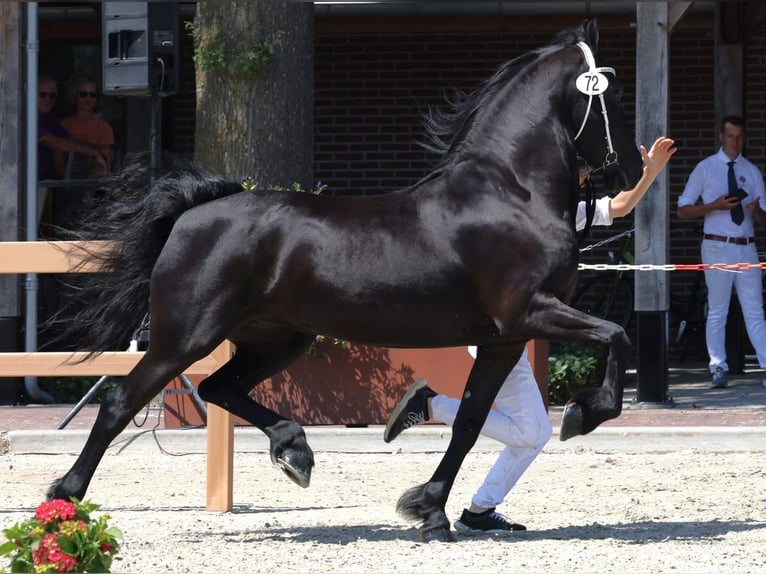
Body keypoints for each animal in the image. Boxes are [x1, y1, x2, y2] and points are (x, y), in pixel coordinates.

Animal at [48, 19, 643, 543]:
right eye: (612, 95)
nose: (633, 169)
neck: (509, 193)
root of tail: (194, 211)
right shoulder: (529, 312)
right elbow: (617, 335)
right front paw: (583, 414)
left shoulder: (506, 337)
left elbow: (470, 422)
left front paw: (428, 511)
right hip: (184, 338)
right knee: (119, 404)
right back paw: (63, 499)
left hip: (279, 339)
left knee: (218, 388)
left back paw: (296, 451)